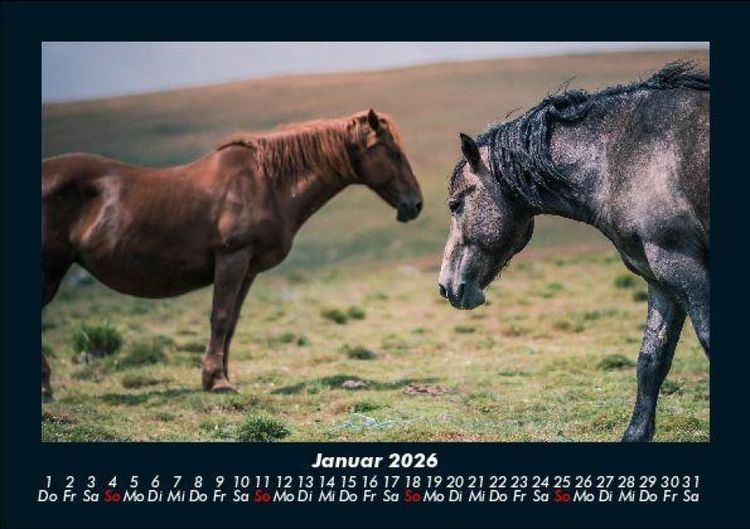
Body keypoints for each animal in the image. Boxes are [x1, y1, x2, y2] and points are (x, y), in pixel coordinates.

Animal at [42, 109, 423, 398]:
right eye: (393, 152)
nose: (415, 205)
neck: (267, 183)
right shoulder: (232, 258)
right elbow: (221, 317)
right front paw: (217, 381)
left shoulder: (248, 269)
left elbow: (233, 322)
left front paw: (220, 376)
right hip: (50, 269)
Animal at [438, 63, 709, 442]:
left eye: (454, 204)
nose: (446, 286)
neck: (623, 155)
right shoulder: (661, 278)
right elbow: (651, 361)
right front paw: (635, 434)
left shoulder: (685, 268)